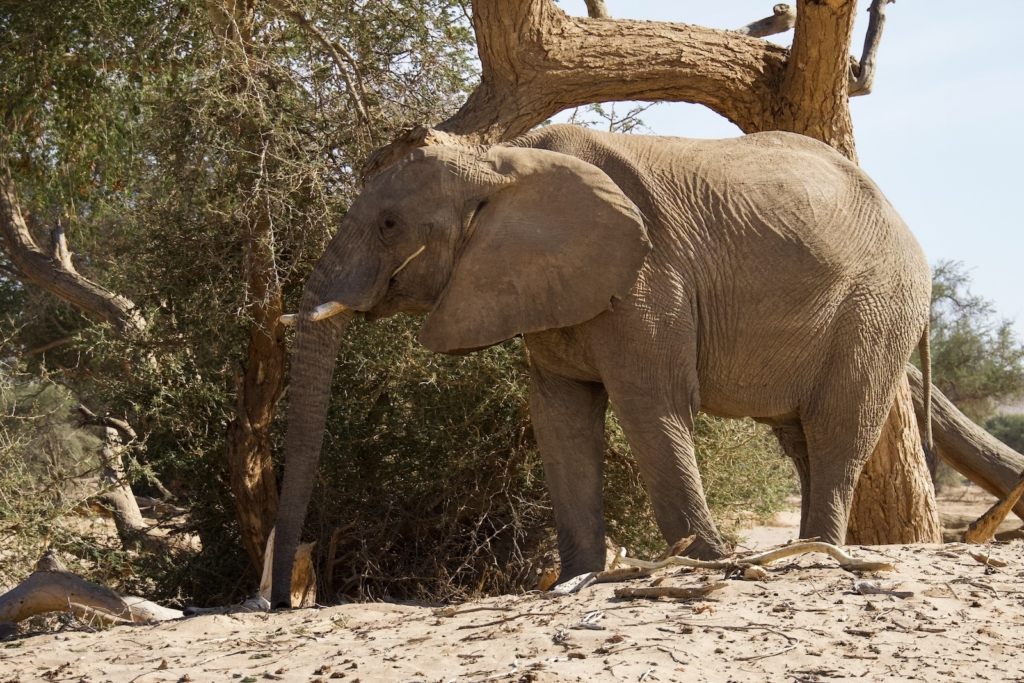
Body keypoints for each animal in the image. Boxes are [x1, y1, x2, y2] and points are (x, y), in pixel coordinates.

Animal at [269, 123, 932, 608]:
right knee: (800, 439)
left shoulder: (647, 277)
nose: (276, 603)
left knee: (836, 429)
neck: (505, 161)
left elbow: (650, 408)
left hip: (877, 304)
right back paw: (808, 549)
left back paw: (815, 554)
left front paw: (709, 564)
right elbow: (560, 419)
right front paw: (579, 578)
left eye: (389, 225)